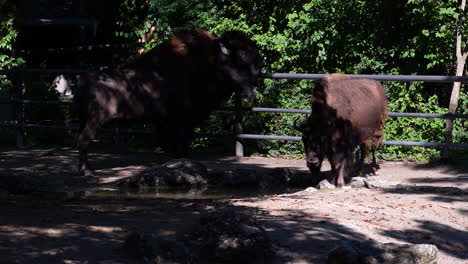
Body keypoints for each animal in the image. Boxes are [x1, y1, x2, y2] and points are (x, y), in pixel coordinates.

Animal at [75, 29, 262, 176]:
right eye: (242, 54)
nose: (258, 73)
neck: (210, 60)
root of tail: (85, 80)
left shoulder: (166, 122)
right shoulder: (183, 120)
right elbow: (180, 143)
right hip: (95, 120)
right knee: (84, 140)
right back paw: (88, 171)